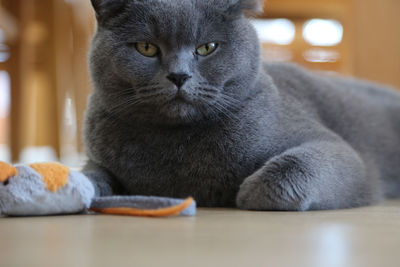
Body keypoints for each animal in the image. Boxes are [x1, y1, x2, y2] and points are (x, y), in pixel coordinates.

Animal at [83, 0, 400, 211]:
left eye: (207, 47)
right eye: (146, 48)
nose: (179, 76)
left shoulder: (337, 149)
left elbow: (281, 174)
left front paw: (244, 193)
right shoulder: (98, 159)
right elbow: (90, 174)